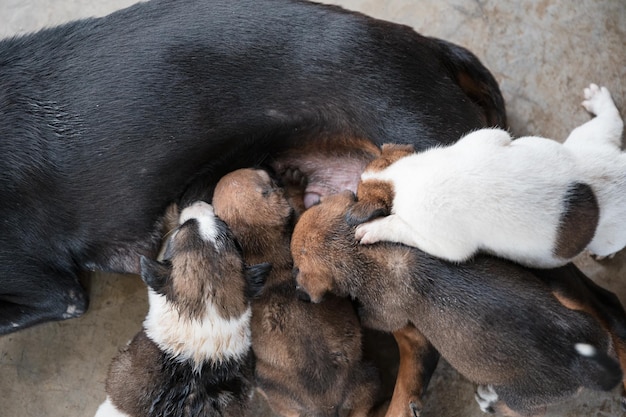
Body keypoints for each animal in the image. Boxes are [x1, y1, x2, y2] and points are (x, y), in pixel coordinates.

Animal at [292, 192, 624, 416]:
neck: (362, 252)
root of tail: (580, 361)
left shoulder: (385, 314)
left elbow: (369, 316)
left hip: (521, 396)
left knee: (518, 410)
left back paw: (490, 402)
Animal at [348, 83, 620, 268]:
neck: (405, 176)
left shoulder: (444, 244)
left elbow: (397, 226)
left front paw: (372, 228)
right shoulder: (489, 136)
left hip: (611, 234)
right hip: (588, 139)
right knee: (610, 123)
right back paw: (599, 101)